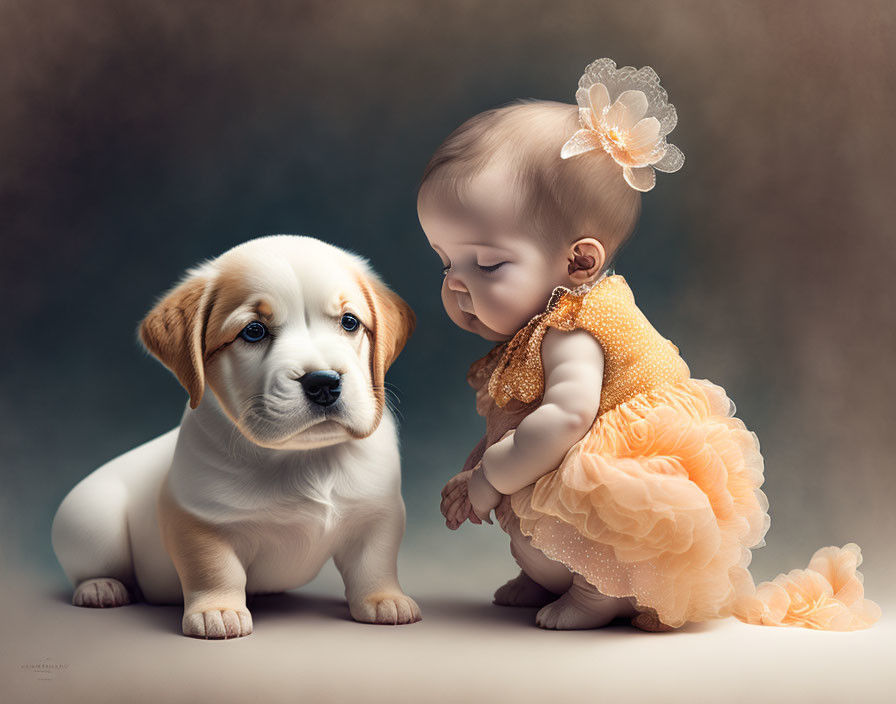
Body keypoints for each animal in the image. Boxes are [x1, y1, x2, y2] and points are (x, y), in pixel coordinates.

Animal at [50, 235, 422, 640]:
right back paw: (101, 588)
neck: (305, 457)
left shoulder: (379, 513)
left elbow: (375, 562)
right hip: (94, 519)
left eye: (350, 322)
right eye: (253, 331)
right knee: (95, 567)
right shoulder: (199, 521)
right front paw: (218, 611)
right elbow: (215, 569)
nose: (324, 382)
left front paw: (385, 599)